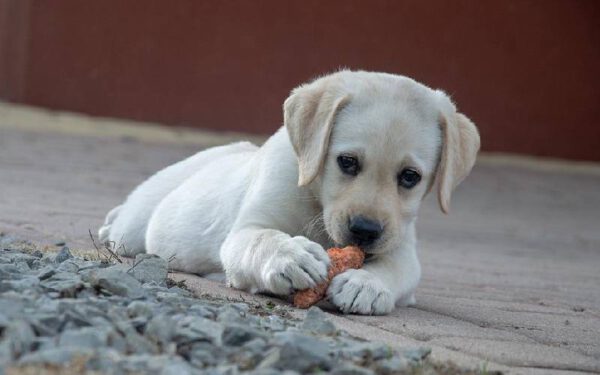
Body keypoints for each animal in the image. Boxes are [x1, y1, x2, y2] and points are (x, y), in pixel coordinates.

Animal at [101, 70, 480, 314]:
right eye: (347, 162)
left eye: (410, 177)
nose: (365, 230)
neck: (316, 201)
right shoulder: (245, 230)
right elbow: (262, 238)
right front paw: (290, 256)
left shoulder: (401, 246)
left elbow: (396, 269)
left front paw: (366, 284)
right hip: (135, 226)